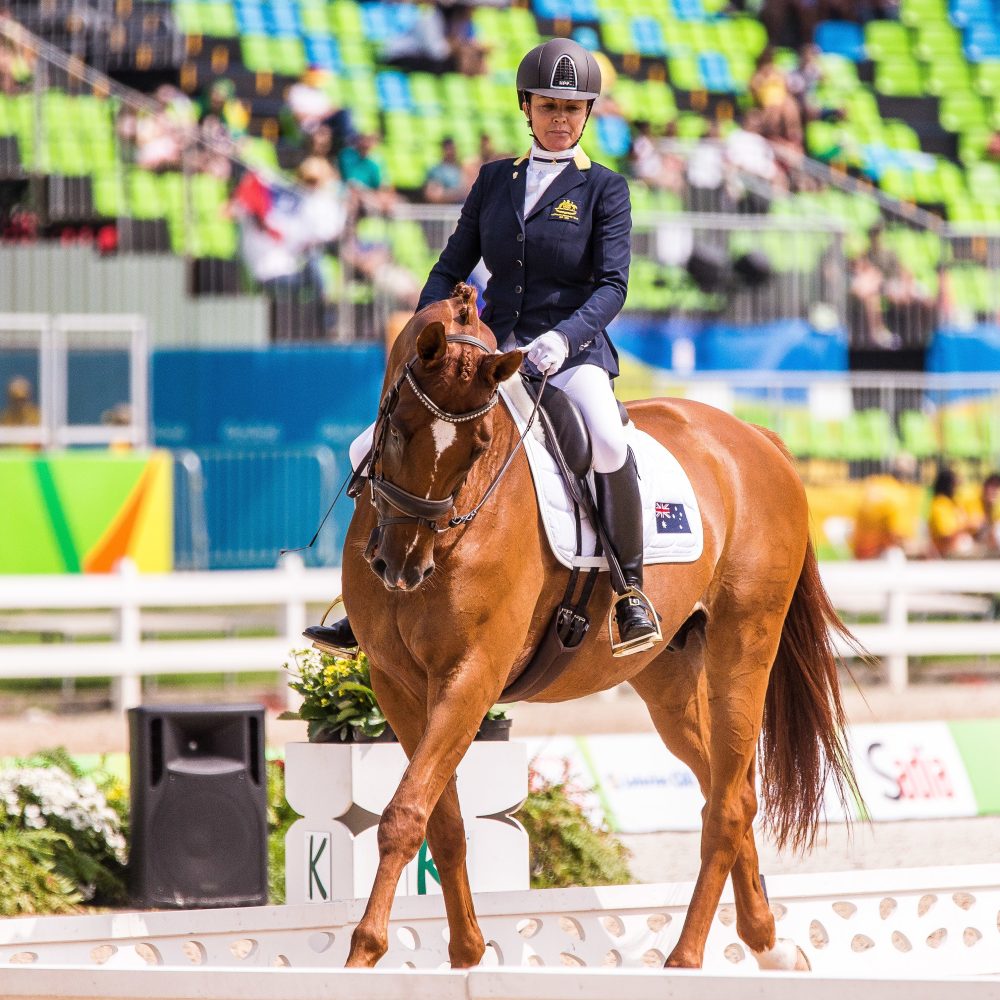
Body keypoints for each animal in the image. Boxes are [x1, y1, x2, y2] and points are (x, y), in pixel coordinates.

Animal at [340, 286, 856, 972]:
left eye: (479, 445)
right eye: (397, 428)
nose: (402, 565)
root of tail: (755, 437)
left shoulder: (471, 677)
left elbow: (405, 813)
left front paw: (363, 956)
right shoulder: (397, 683)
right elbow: (440, 820)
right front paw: (468, 955)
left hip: (745, 644)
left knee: (726, 805)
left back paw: (685, 960)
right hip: (667, 678)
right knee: (730, 790)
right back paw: (769, 947)